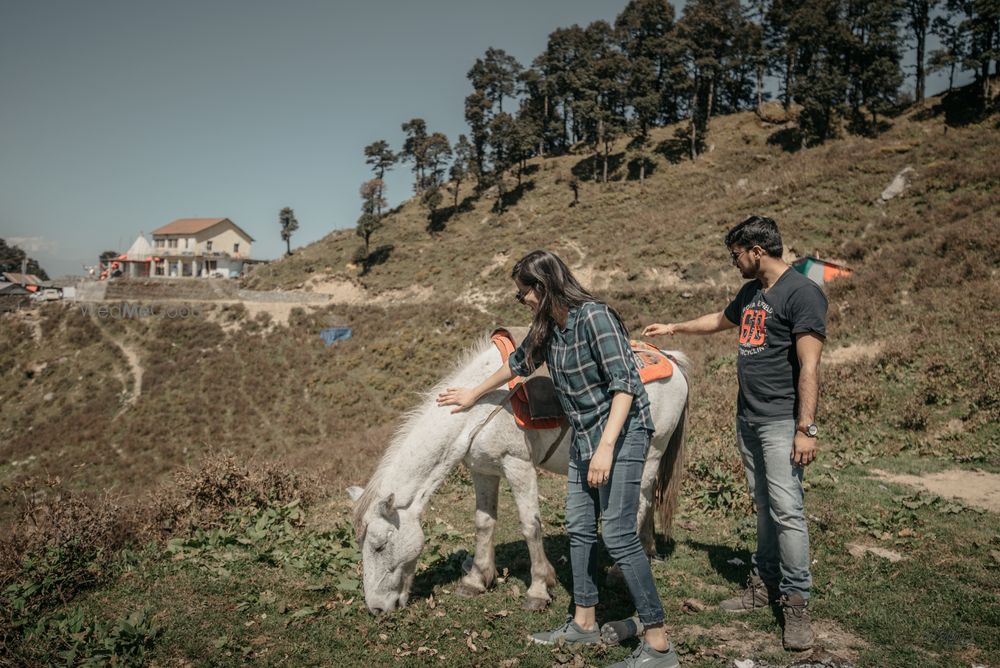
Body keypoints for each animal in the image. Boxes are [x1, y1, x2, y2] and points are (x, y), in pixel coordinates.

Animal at [352, 340, 688, 616]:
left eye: (379, 546)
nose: (376, 608)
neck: (479, 408)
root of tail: (672, 359)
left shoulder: (518, 466)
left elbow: (530, 525)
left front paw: (539, 589)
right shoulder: (483, 471)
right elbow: (483, 523)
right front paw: (477, 579)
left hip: (651, 454)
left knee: (640, 503)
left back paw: (620, 569)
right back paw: (648, 548)